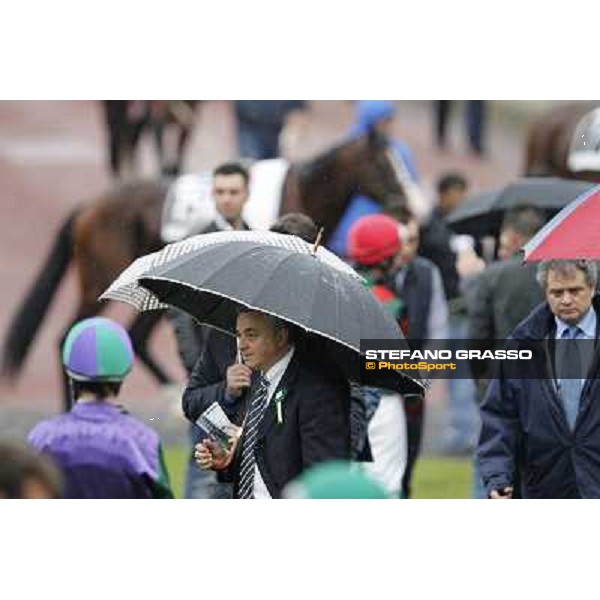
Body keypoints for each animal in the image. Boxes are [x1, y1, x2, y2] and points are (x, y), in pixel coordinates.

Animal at [0, 126, 412, 408]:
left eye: (398, 162)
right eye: (382, 162)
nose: (405, 207)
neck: (302, 189)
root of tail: (88, 206)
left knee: (135, 337)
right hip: (101, 280)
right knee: (68, 334)